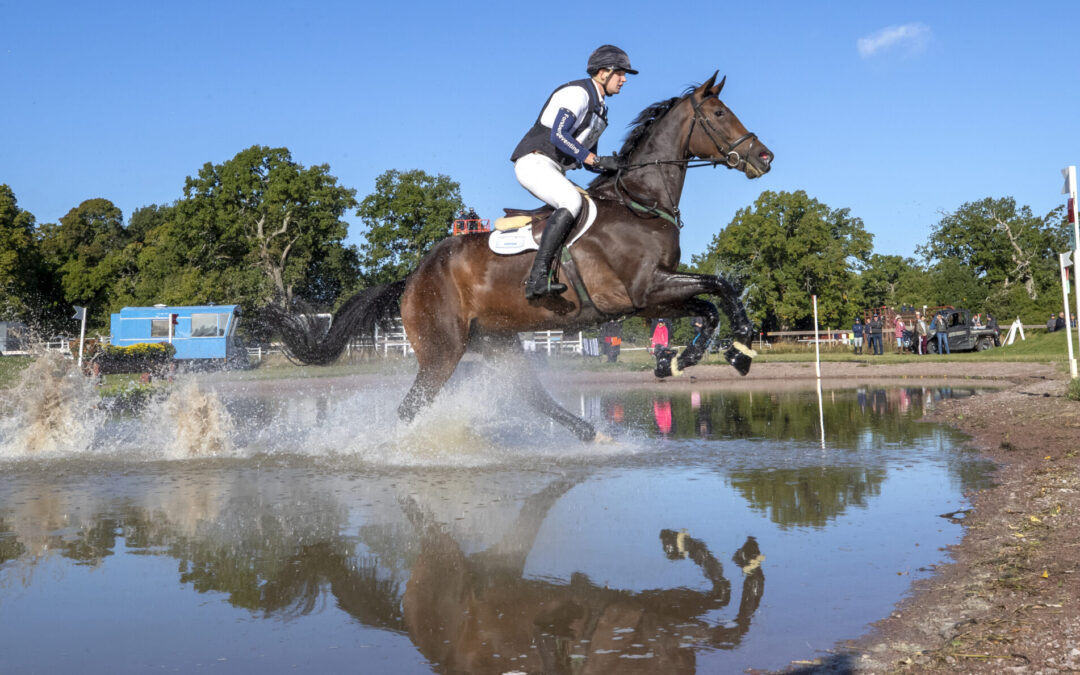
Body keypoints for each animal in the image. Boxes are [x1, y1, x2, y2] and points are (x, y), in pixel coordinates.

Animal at [270, 72, 777, 442]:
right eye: (719, 113)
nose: (765, 157)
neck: (640, 202)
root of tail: (413, 278)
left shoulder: (656, 295)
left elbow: (710, 306)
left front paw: (685, 359)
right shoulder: (645, 291)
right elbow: (720, 287)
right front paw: (739, 350)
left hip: (498, 343)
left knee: (532, 396)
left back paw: (592, 435)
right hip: (442, 353)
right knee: (411, 407)